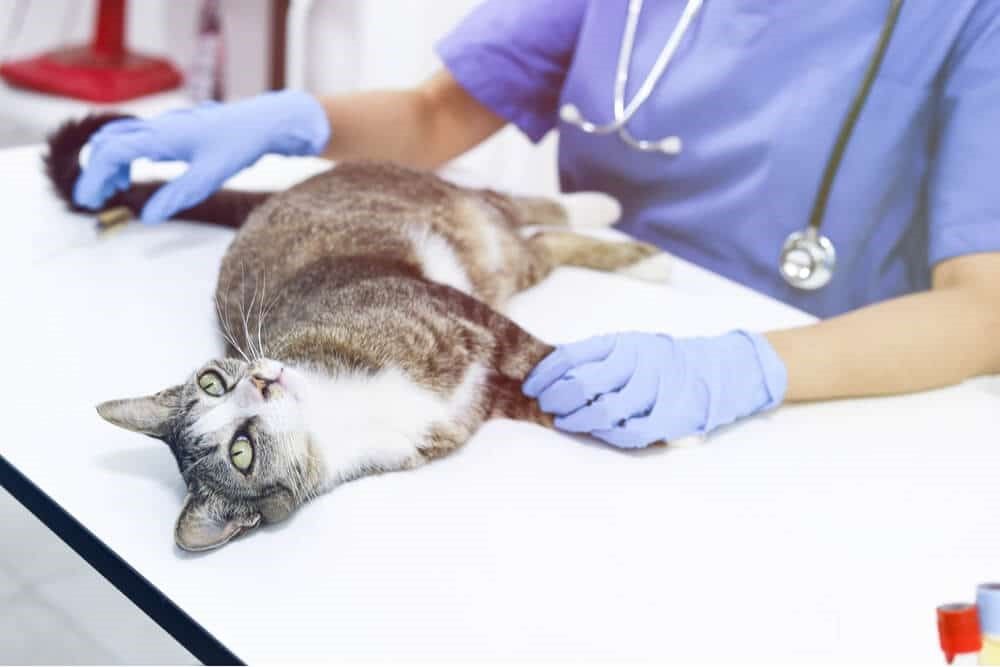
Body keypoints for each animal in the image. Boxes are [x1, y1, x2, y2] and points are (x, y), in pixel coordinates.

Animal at [45, 115, 672, 552]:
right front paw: (647, 423)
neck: (337, 409)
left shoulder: (462, 314)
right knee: (538, 243)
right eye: (241, 452)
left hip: (448, 208)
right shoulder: (476, 400)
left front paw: (646, 407)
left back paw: (604, 210)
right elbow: (552, 399)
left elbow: (544, 360)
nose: (260, 382)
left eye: (211, 384)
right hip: (502, 264)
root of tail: (279, 195)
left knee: (526, 209)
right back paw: (642, 255)